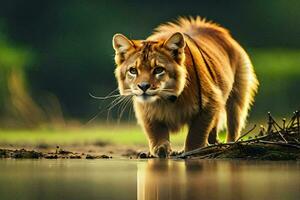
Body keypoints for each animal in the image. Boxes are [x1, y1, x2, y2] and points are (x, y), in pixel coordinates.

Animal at [112, 16, 258, 158]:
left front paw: (191, 151)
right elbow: (155, 133)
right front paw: (160, 151)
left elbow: (196, 134)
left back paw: (227, 146)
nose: (143, 86)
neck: (165, 100)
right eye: (133, 71)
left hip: (237, 98)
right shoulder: (146, 111)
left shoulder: (210, 103)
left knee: (233, 126)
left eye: (158, 69)